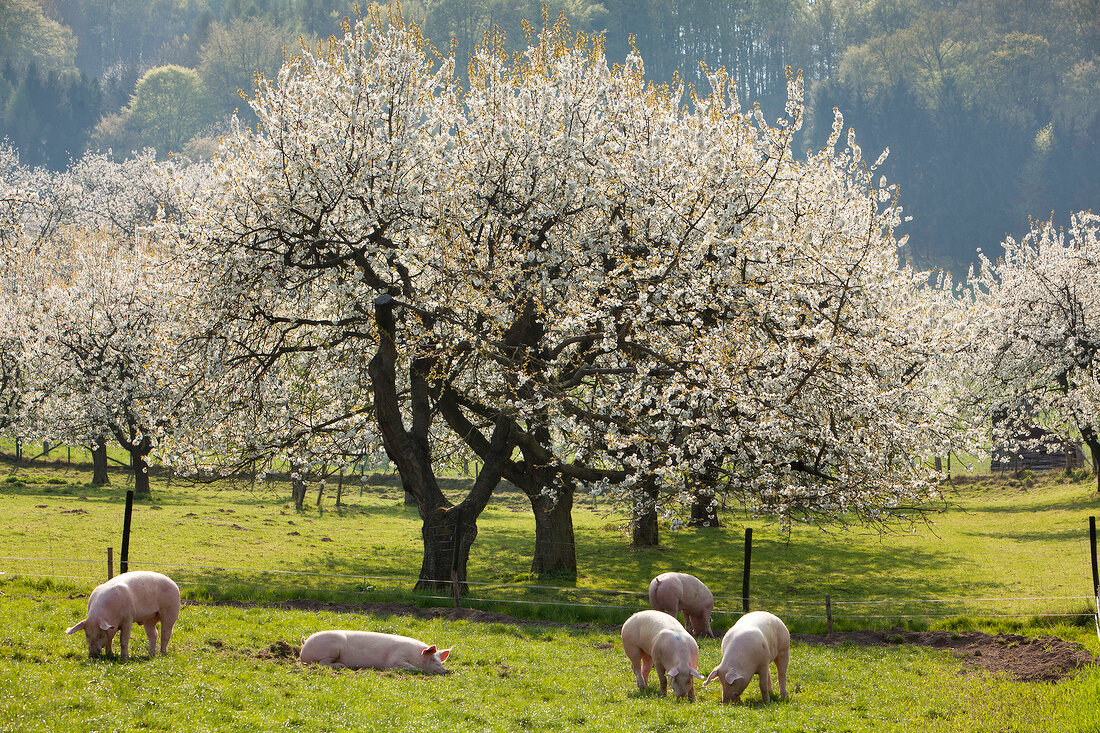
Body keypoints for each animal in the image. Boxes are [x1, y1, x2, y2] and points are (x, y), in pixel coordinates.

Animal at [299, 629, 453, 673]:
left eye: (440, 660)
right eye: (432, 659)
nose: (447, 671)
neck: (415, 656)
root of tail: (306, 642)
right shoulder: (395, 660)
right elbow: (409, 667)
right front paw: (418, 670)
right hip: (330, 649)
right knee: (322, 663)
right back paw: (342, 666)